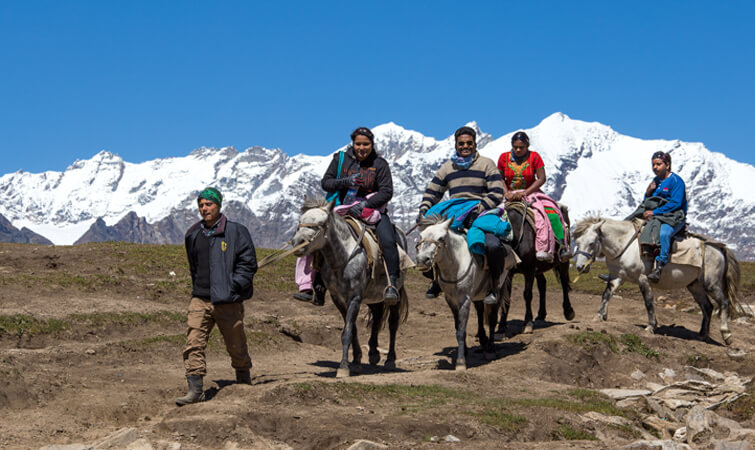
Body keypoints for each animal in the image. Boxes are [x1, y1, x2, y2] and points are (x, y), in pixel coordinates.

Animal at [290, 197, 408, 376]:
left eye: (321, 223)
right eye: (300, 221)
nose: (298, 243)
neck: (343, 257)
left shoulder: (354, 297)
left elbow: (347, 332)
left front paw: (343, 367)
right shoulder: (339, 299)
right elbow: (352, 329)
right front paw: (356, 360)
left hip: (396, 292)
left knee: (392, 322)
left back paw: (390, 360)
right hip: (373, 295)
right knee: (377, 316)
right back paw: (373, 354)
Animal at [414, 217, 520, 370]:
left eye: (441, 238)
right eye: (421, 237)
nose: (422, 260)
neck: (456, 265)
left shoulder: (464, 299)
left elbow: (461, 329)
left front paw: (460, 362)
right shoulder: (450, 299)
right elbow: (458, 326)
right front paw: (464, 352)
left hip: (498, 289)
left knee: (492, 318)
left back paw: (490, 349)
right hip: (478, 294)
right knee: (480, 312)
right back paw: (482, 341)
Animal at [572, 217, 740, 344]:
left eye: (591, 243)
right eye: (577, 243)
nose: (580, 267)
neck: (625, 245)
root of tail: (719, 248)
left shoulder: (643, 279)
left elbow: (648, 302)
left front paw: (651, 327)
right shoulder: (616, 277)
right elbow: (606, 295)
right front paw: (598, 316)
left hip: (711, 284)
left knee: (724, 302)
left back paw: (726, 335)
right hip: (695, 286)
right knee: (708, 307)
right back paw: (702, 335)